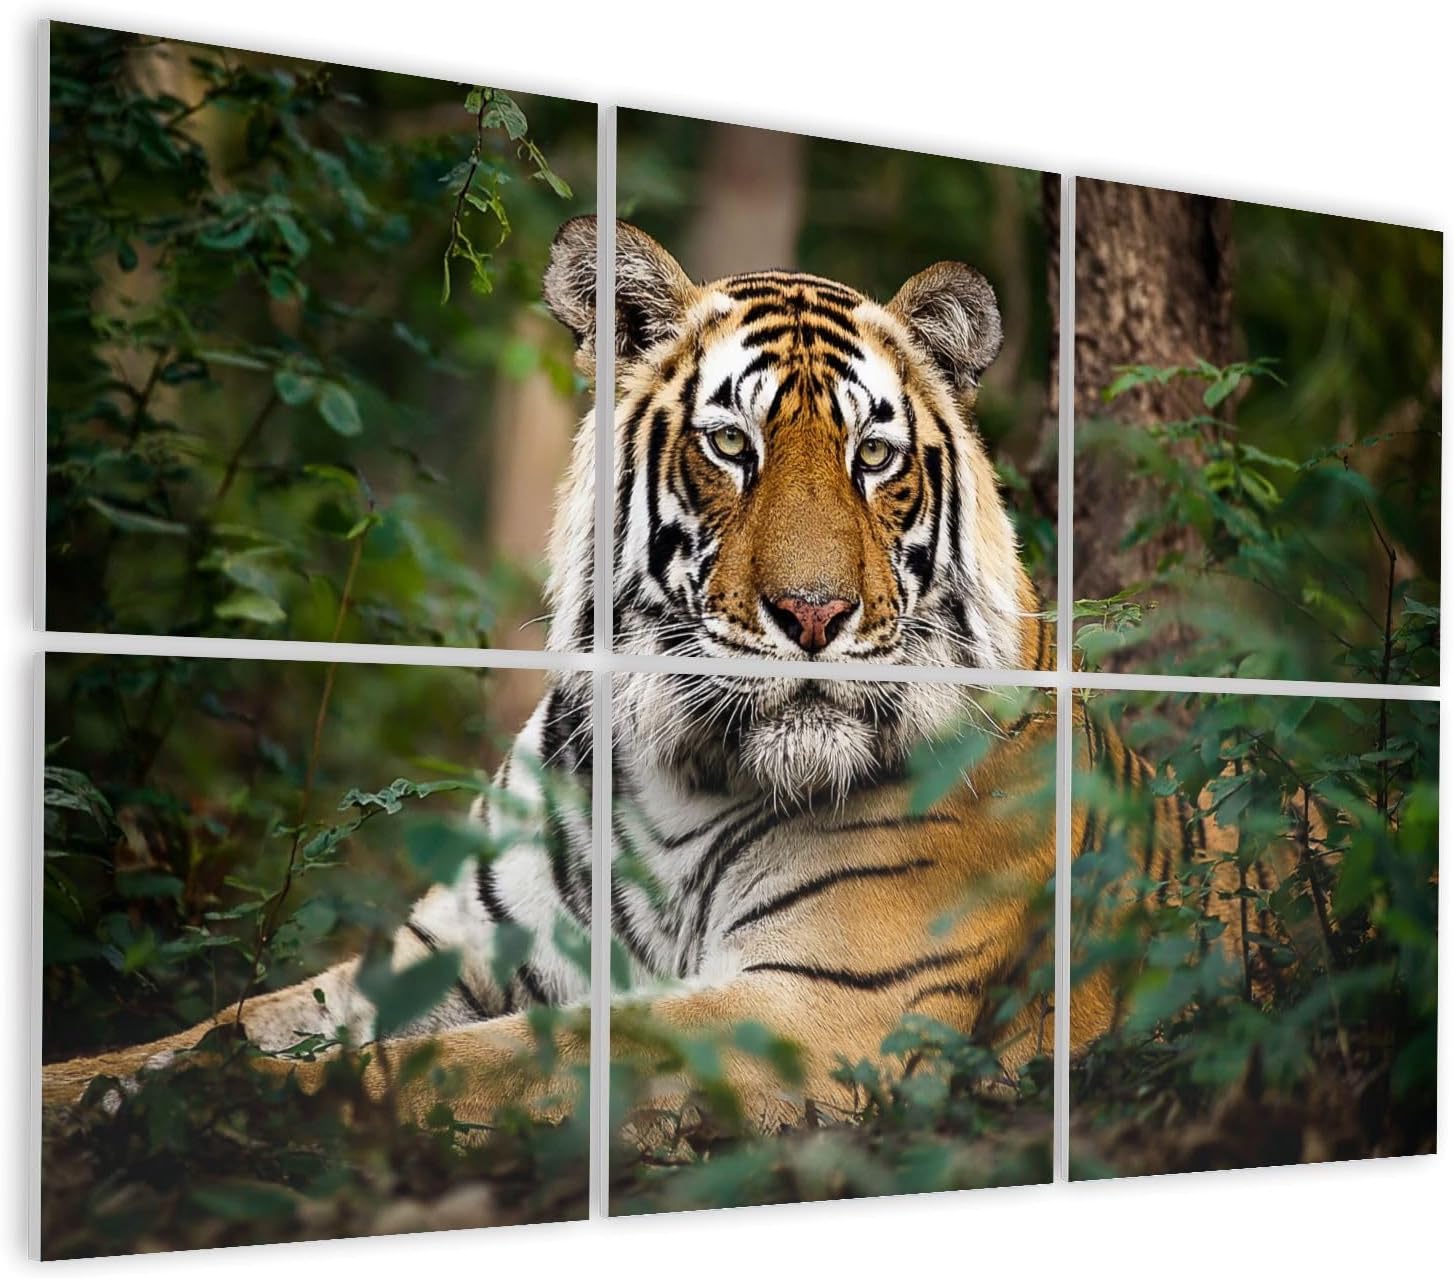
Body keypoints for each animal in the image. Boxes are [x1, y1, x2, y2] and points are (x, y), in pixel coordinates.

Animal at [41, 216, 1207, 1132]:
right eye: (731, 445)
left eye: (872, 458)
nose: (815, 615)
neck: (678, 776)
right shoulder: (446, 950)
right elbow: (235, 1017)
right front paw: (91, 1086)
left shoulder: (817, 1005)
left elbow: (477, 1060)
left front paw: (208, 1104)